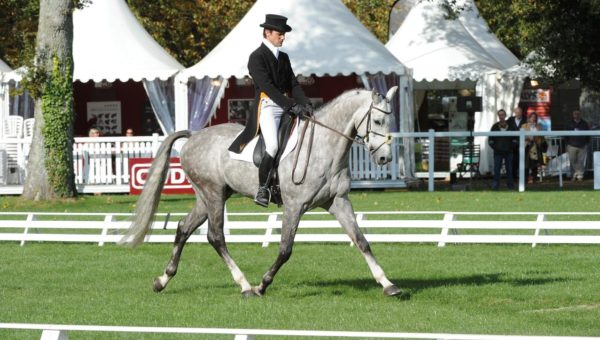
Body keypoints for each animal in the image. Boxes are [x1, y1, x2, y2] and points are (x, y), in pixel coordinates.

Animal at [120, 85, 406, 298]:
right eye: (378, 120)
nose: (384, 159)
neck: (324, 147)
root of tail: (193, 136)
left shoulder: (338, 201)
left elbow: (361, 241)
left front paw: (388, 284)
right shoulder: (294, 206)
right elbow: (285, 249)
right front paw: (263, 284)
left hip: (209, 196)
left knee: (183, 228)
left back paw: (162, 280)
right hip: (212, 194)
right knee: (216, 237)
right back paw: (245, 285)